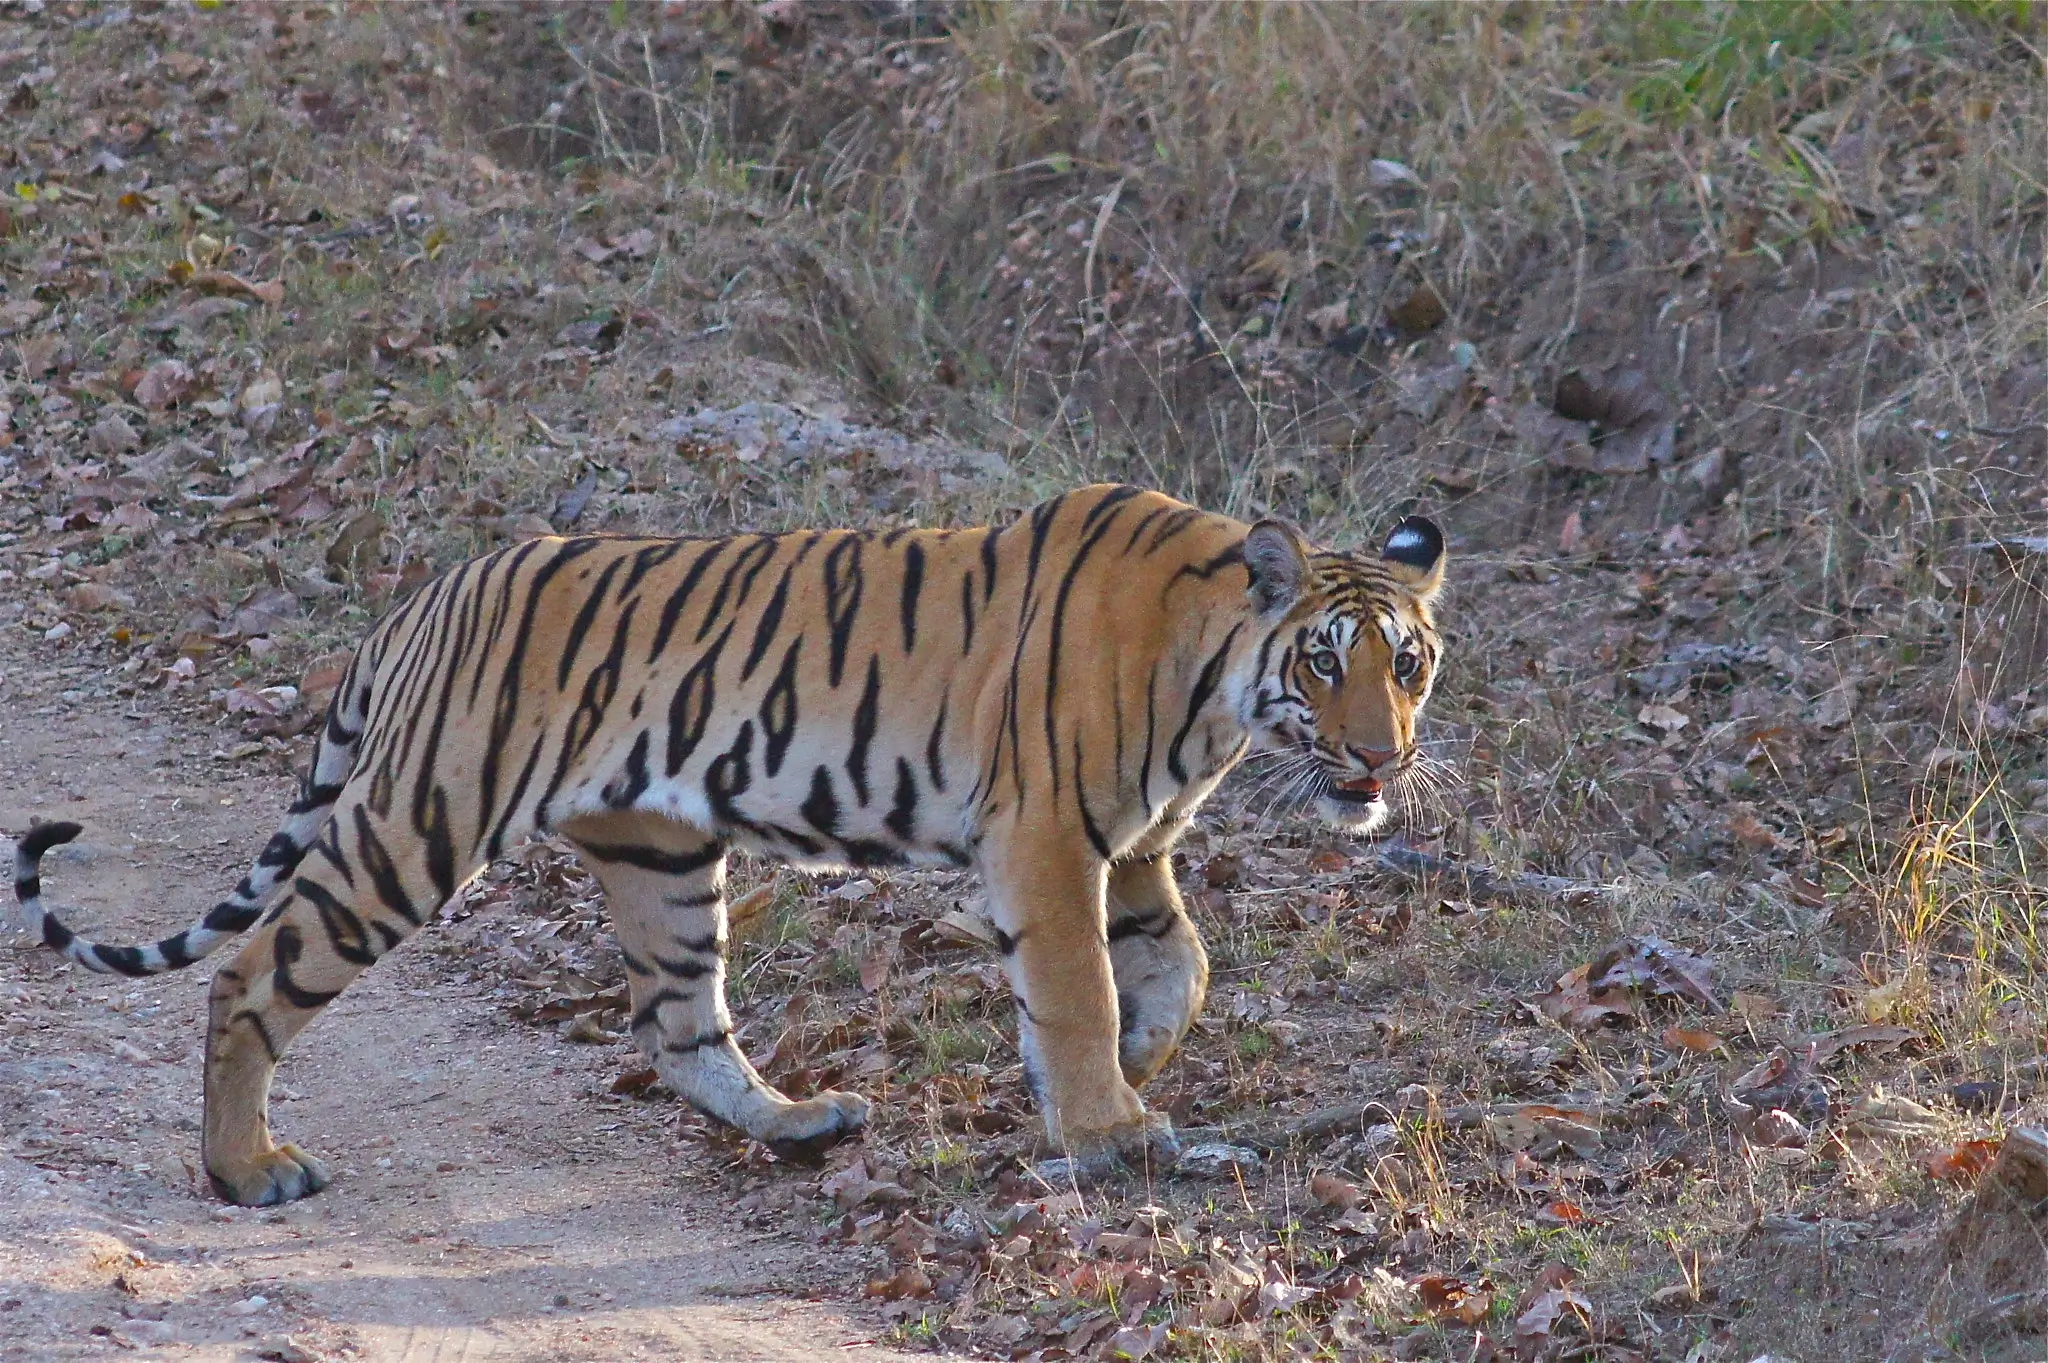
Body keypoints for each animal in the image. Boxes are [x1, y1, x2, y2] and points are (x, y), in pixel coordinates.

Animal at [12, 483, 1447, 1205]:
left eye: (1409, 662)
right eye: (1323, 663)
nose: (1380, 759)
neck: (1213, 690)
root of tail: (426, 595)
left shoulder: (1131, 844)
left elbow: (1174, 967)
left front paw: (1125, 1075)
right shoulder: (1048, 838)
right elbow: (1082, 987)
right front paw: (1107, 1128)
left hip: (659, 854)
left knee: (678, 1023)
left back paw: (801, 1125)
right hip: (415, 823)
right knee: (249, 974)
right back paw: (245, 1169)